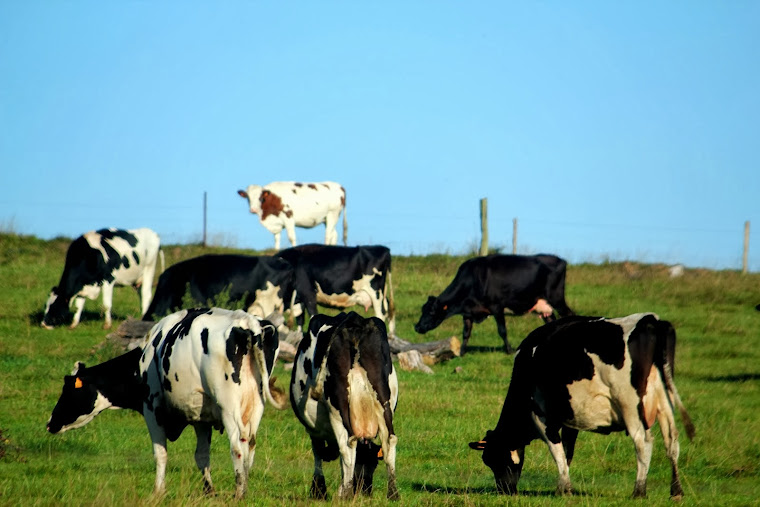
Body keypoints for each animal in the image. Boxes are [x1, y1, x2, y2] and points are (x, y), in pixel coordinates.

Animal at [47, 308, 290, 498]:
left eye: (68, 390)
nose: (50, 423)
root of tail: (247, 322)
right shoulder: (201, 416)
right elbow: (202, 455)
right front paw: (208, 491)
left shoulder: (151, 407)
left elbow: (160, 453)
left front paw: (158, 491)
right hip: (255, 405)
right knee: (250, 444)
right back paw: (245, 488)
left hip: (228, 406)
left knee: (237, 445)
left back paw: (239, 492)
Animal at [290, 312, 400, 502]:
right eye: (372, 464)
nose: (366, 490)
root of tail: (355, 321)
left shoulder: (313, 429)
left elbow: (318, 452)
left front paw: (319, 490)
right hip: (382, 398)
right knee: (389, 440)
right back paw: (393, 493)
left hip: (338, 405)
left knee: (348, 444)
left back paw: (346, 494)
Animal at [416, 254, 568, 358]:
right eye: (422, 309)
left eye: (431, 311)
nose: (417, 327)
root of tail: (560, 260)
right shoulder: (468, 312)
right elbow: (466, 333)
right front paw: (462, 353)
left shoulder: (497, 307)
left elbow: (502, 330)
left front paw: (509, 350)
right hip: (544, 307)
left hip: (557, 299)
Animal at [470, 314, 696, 500]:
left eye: (492, 459)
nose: (504, 491)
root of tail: (650, 320)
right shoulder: (570, 419)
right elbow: (567, 452)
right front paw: (562, 487)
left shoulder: (542, 417)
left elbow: (557, 451)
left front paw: (565, 489)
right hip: (664, 403)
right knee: (672, 442)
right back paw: (676, 491)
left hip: (630, 406)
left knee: (644, 443)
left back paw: (639, 491)